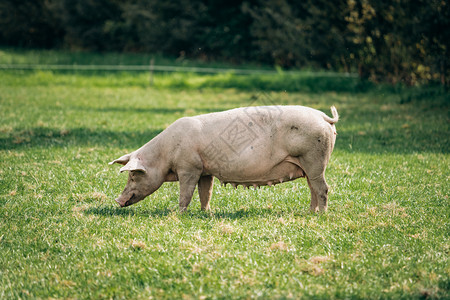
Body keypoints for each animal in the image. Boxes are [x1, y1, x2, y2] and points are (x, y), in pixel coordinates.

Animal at [110, 105, 340, 213]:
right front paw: (206, 212)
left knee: (323, 188)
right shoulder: (205, 170)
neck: (165, 154)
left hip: (314, 160)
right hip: (309, 165)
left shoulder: (189, 167)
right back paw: (309, 212)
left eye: (133, 176)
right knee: (313, 188)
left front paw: (178, 213)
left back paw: (321, 215)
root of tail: (323, 117)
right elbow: (206, 193)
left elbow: (186, 193)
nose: (117, 200)